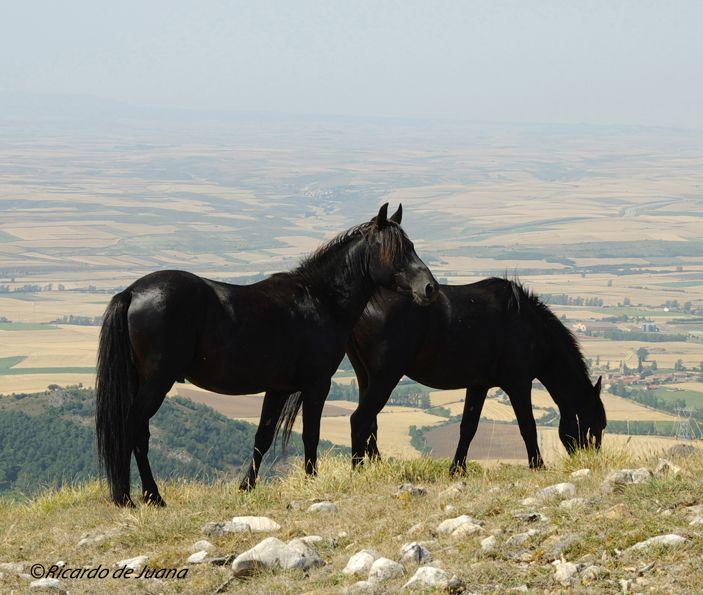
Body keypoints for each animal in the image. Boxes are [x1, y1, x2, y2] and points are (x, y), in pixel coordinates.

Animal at [95, 203, 439, 506]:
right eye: (396, 250)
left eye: (411, 246)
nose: (430, 288)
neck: (321, 300)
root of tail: (132, 292)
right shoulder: (317, 385)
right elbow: (310, 435)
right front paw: (311, 481)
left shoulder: (278, 389)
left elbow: (262, 437)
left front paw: (246, 487)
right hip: (156, 382)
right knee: (134, 431)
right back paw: (140, 498)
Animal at [346, 275, 607, 472]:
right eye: (597, 424)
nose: (592, 460)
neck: (529, 327)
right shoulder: (519, 384)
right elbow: (528, 426)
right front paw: (538, 466)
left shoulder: (478, 385)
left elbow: (468, 427)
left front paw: (457, 469)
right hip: (386, 377)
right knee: (359, 419)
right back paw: (359, 470)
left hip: (365, 377)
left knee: (370, 423)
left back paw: (378, 467)